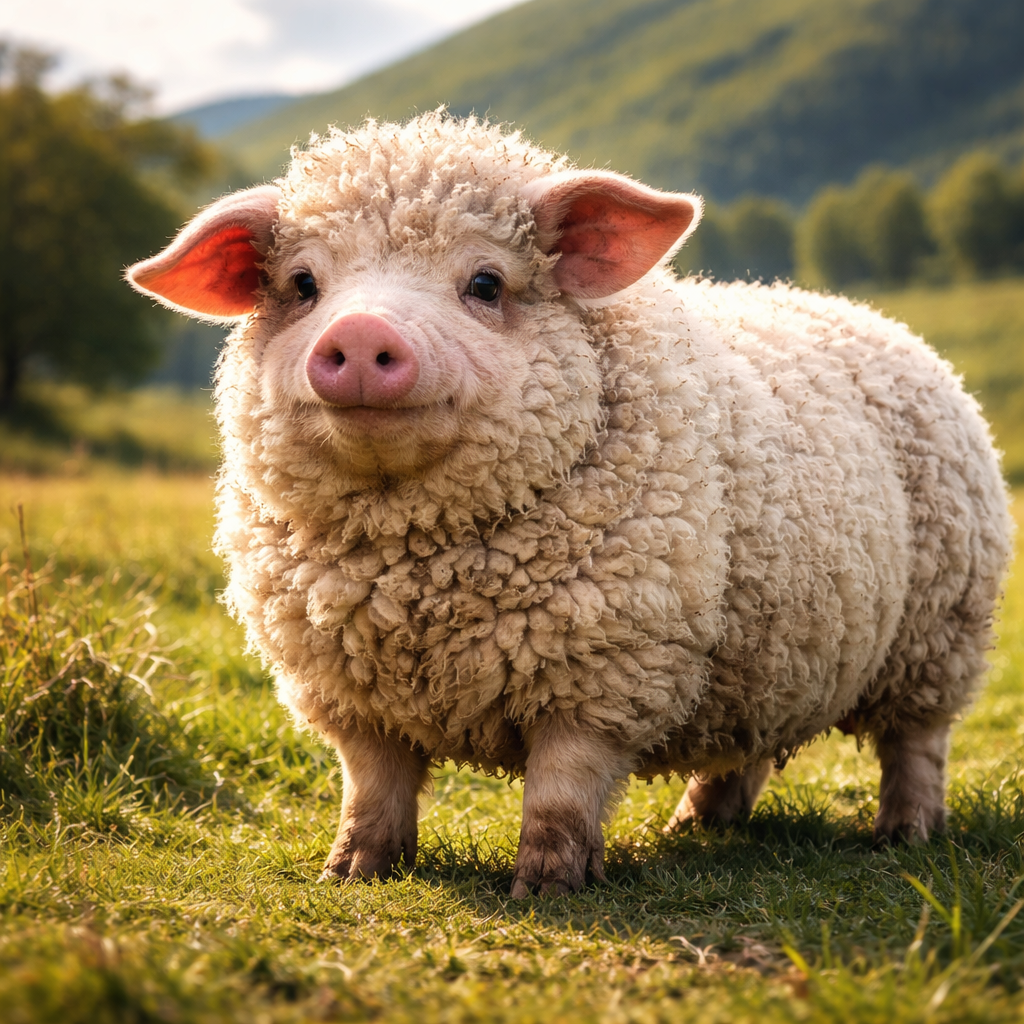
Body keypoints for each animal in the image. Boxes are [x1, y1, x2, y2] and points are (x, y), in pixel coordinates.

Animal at [128, 113, 1012, 896]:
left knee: (917, 745)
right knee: (746, 745)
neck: (420, 584)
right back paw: (697, 824)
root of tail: (878, 319)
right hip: (774, 647)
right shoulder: (350, 692)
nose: (360, 333)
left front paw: (547, 887)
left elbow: (560, 792)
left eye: (486, 283)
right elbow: (372, 786)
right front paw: (351, 873)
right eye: (304, 285)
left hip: (939, 632)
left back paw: (904, 833)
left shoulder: (607, 671)